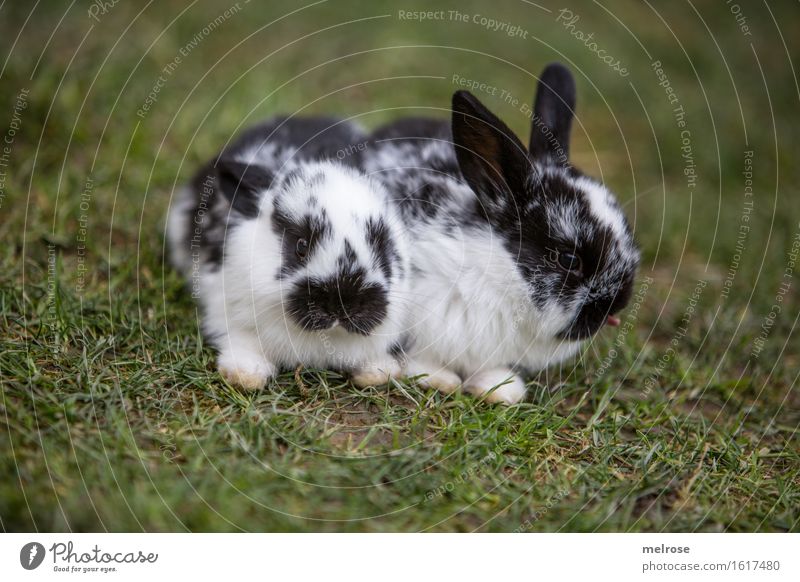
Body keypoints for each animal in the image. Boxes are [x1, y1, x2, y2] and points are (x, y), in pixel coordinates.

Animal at [166, 117, 410, 392]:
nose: (342, 304)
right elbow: (242, 343)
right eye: (301, 245)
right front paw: (246, 376)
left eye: (381, 247)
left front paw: (378, 372)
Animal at [360, 61, 636, 404]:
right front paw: (438, 380)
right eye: (569, 259)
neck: (500, 277)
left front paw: (500, 390)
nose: (618, 303)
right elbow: (422, 356)